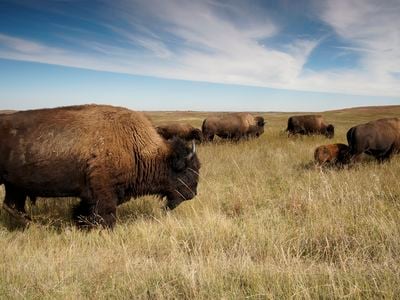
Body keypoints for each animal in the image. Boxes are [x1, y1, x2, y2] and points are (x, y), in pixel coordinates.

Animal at [0, 104, 200, 229]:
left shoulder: (91, 196)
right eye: (188, 171)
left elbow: (84, 211)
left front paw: (80, 223)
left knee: (12, 206)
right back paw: (38, 226)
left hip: (15, 186)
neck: (134, 146)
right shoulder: (104, 193)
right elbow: (106, 214)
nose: (193, 194)